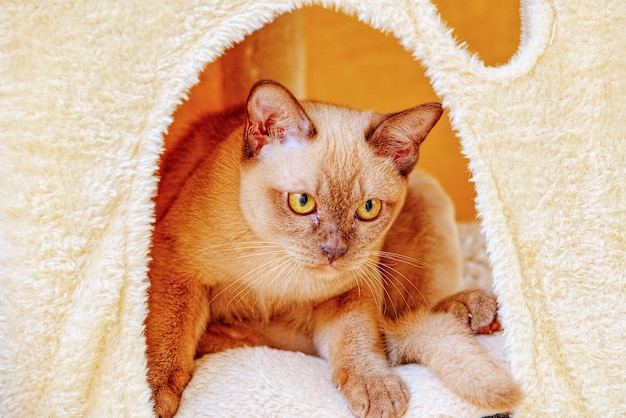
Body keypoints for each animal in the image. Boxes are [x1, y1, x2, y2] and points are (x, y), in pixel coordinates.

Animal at [144, 79, 520, 418]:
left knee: (412, 314)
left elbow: (357, 340)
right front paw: (153, 400)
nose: (333, 251)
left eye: (368, 209)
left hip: (427, 202)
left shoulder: (351, 290)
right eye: (302, 202)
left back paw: (474, 312)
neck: (284, 276)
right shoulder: (175, 264)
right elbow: (166, 337)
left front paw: (376, 390)